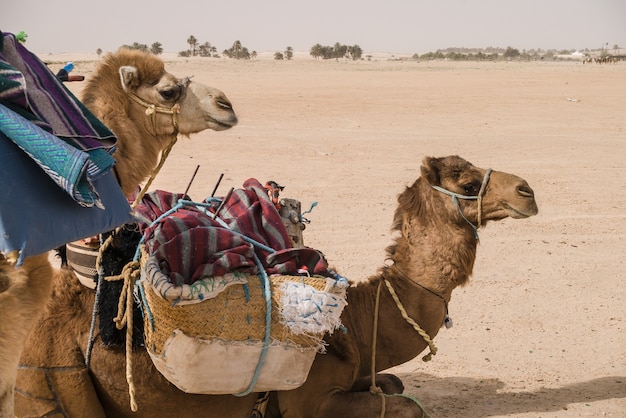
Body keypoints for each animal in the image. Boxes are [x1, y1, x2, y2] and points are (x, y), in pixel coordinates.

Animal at [13, 152, 536, 416]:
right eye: (467, 183)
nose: (527, 191)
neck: (358, 321)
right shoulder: (311, 402)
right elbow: (407, 407)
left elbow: (395, 384)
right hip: (54, 379)